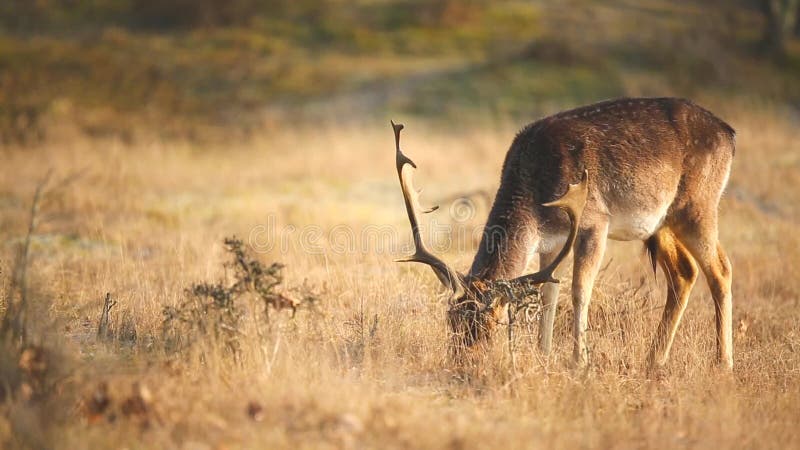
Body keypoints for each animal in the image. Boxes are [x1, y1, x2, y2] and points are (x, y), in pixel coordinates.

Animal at [390, 96, 736, 368]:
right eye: (451, 320)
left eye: (491, 323)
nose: (462, 362)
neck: (534, 193)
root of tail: (729, 134)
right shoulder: (549, 243)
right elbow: (548, 294)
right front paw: (543, 355)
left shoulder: (596, 222)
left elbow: (580, 289)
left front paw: (579, 362)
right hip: (661, 223)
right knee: (684, 272)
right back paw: (654, 360)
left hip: (699, 205)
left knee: (720, 269)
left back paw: (723, 363)